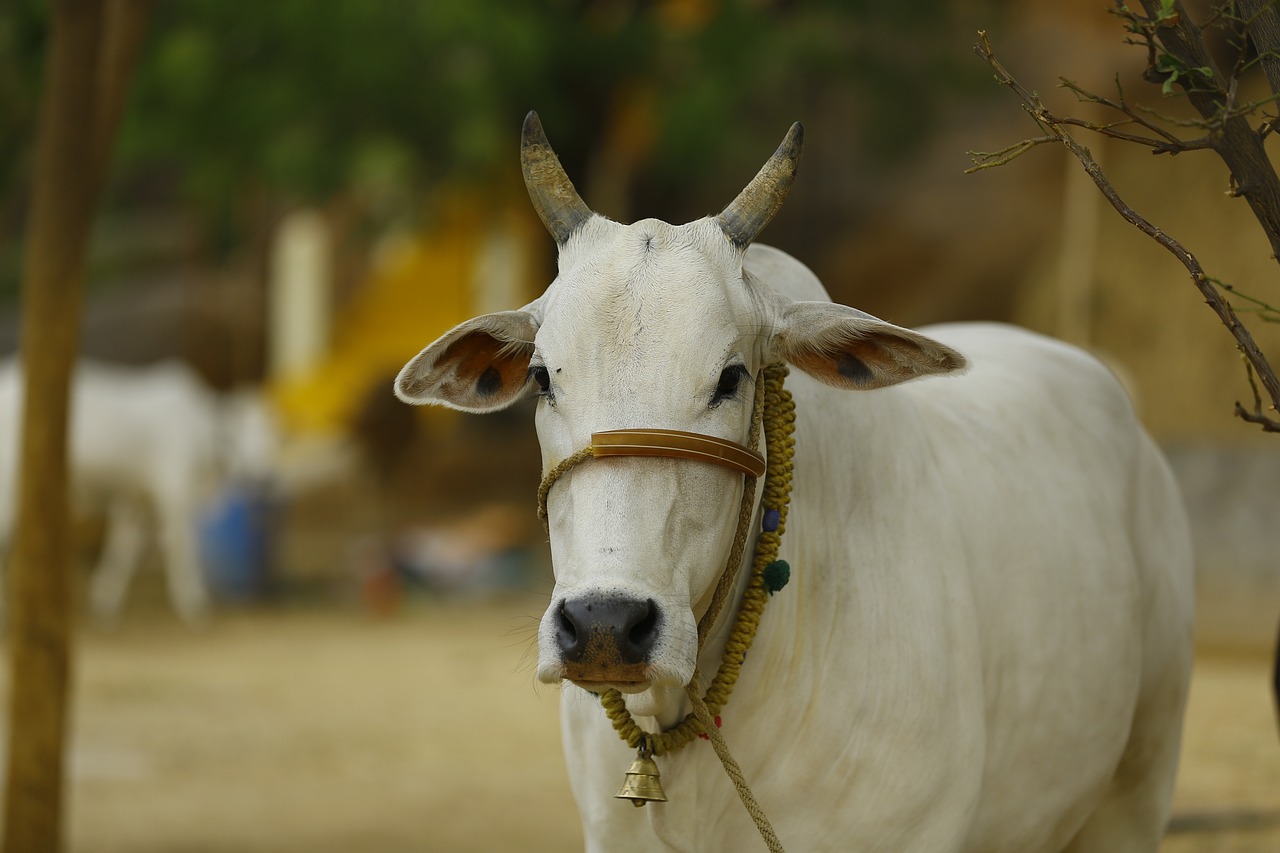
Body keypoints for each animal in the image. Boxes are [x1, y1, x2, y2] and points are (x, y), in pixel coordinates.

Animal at [0, 356, 277, 622]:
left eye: (273, 436)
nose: (264, 477)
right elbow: (181, 546)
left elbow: (123, 547)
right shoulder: (174, 493)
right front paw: (193, 602)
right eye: (236, 436)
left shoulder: (134, 498)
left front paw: (105, 599)